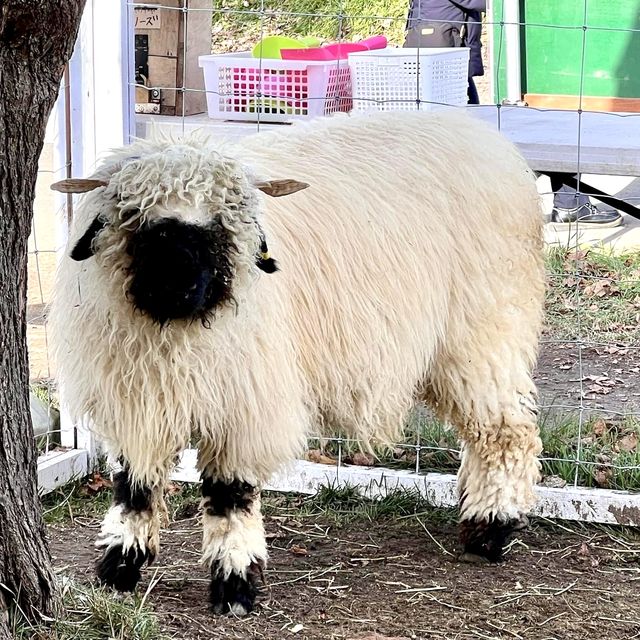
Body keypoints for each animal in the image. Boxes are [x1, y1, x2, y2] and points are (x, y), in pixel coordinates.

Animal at [50, 110, 544, 616]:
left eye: (224, 224)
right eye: (135, 216)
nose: (178, 285)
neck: (173, 330)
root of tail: (485, 135)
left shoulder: (246, 402)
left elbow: (230, 494)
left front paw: (235, 583)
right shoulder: (134, 399)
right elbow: (134, 486)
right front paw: (119, 565)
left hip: (486, 330)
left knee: (506, 430)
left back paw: (491, 528)